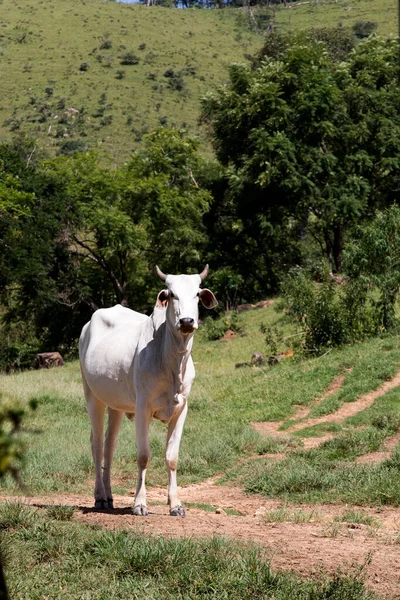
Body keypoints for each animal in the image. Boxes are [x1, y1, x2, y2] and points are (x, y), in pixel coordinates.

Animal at [79, 266, 217, 516]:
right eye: (171, 295)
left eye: (196, 294)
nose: (187, 321)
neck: (172, 362)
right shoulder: (143, 407)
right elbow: (143, 456)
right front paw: (140, 503)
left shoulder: (182, 408)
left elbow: (172, 457)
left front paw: (176, 504)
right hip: (92, 396)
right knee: (97, 445)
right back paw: (100, 497)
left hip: (116, 404)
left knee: (109, 446)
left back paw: (109, 496)